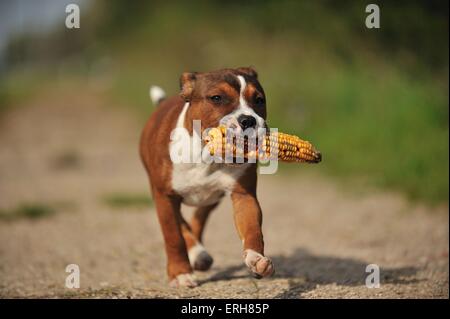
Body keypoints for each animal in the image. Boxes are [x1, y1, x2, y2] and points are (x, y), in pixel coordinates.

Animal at [141, 67, 274, 288]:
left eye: (259, 100)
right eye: (217, 98)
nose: (248, 120)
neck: (206, 155)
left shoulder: (244, 196)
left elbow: (252, 229)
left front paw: (256, 259)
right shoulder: (164, 196)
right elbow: (173, 236)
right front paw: (180, 273)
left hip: (211, 198)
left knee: (199, 217)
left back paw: (199, 255)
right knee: (183, 224)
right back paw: (197, 253)